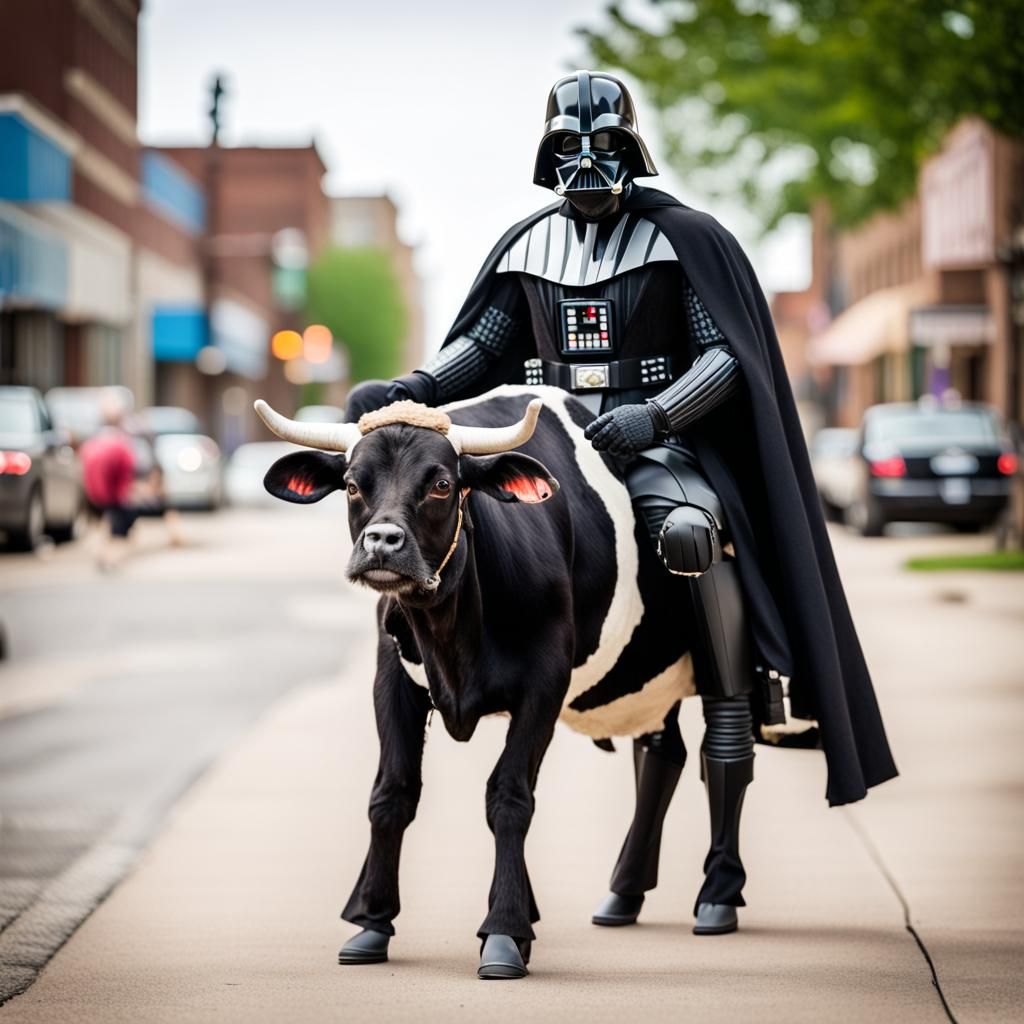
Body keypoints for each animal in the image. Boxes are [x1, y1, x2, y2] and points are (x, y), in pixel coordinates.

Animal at [256, 384, 696, 979]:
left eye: (442, 483)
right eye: (351, 484)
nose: (381, 542)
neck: (454, 634)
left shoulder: (544, 687)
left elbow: (509, 797)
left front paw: (507, 930)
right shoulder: (392, 680)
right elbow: (391, 794)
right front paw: (372, 920)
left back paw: (716, 899)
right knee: (662, 752)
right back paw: (625, 892)